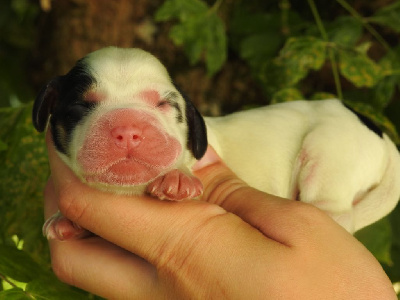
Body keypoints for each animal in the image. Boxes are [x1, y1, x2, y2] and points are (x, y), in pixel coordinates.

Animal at [33, 45, 400, 237]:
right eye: (80, 106)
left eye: (165, 105)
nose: (128, 129)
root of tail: (380, 133)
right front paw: (66, 221)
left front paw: (178, 178)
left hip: (332, 153)